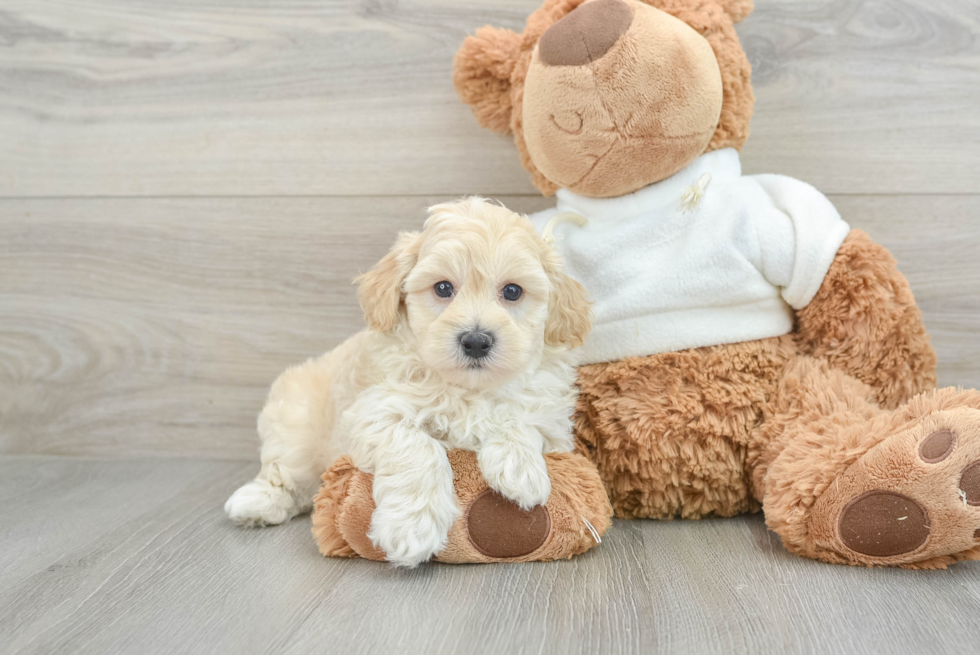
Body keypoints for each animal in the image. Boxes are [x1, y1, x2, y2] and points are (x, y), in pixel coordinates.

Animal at [224, 196, 588, 568]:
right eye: (443, 288)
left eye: (513, 291)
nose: (475, 341)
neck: (467, 388)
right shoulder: (370, 413)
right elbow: (417, 446)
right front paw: (412, 527)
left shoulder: (553, 422)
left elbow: (522, 419)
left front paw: (521, 471)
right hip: (294, 424)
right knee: (285, 474)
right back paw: (257, 503)